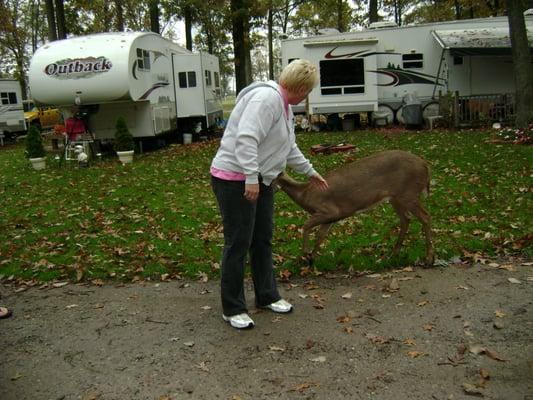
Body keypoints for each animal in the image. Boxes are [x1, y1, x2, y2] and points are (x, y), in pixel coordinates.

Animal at [274, 148, 432, 268]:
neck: (305, 194)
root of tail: (425, 166)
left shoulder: (329, 211)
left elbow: (306, 226)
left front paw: (305, 255)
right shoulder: (331, 218)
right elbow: (320, 235)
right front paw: (311, 259)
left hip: (408, 193)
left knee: (425, 216)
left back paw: (429, 258)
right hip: (396, 197)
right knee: (406, 219)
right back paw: (392, 255)